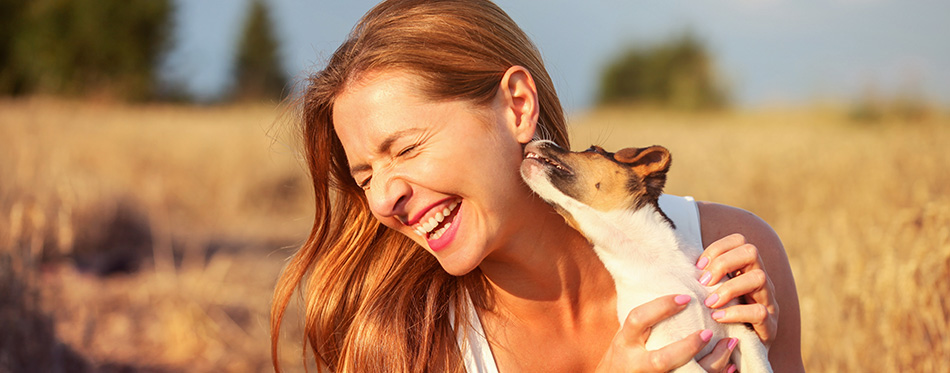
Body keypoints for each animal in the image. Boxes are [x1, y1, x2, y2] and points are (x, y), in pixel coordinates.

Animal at [520, 140, 772, 372]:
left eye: (593, 150)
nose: (535, 140)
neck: (650, 258)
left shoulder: (743, 331)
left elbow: (759, 367)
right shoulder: (667, 350)